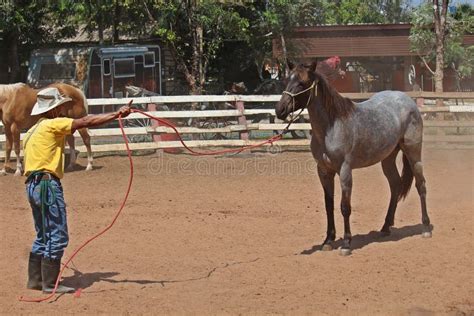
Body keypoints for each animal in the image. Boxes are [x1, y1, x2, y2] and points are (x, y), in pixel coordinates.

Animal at [274, 61, 434, 254]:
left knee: (421, 185)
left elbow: (345, 207)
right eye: (287, 80)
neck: (331, 126)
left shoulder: (344, 170)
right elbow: (329, 205)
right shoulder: (324, 171)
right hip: (388, 157)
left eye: (302, 83)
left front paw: (346, 244)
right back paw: (385, 227)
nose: (280, 110)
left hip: (413, 152)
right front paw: (328, 241)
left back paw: (425, 228)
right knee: (395, 185)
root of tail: (408, 101)